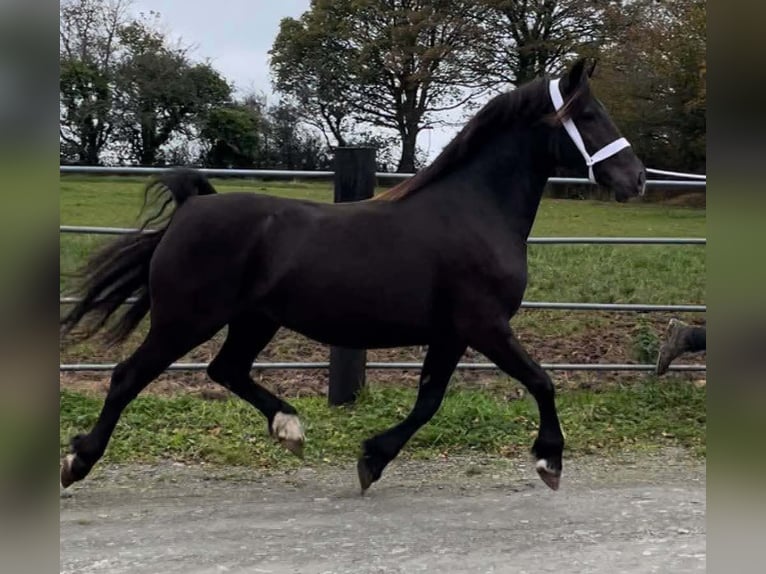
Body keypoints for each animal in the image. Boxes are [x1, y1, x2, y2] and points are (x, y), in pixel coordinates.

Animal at [60, 58, 646, 493]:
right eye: (588, 114)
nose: (637, 179)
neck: (474, 211)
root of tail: (191, 207)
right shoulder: (484, 325)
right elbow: (541, 381)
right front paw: (550, 461)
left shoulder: (452, 333)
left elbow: (429, 400)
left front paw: (372, 459)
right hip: (186, 319)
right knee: (128, 376)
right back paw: (78, 462)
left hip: (254, 319)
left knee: (226, 370)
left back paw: (289, 428)